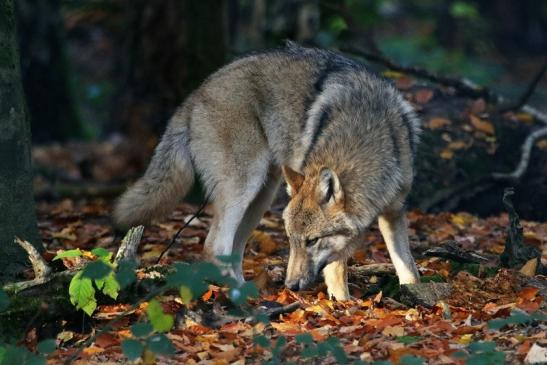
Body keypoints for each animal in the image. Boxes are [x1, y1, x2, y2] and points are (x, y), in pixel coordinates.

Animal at [114, 43, 420, 298]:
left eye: (311, 241)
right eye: (291, 240)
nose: (291, 286)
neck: (364, 133)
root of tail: (195, 95)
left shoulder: (394, 210)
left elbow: (407, 267)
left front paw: (417, 298)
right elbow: (337, 272)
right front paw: (343, 307)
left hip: (263, 195)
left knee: (233, 251)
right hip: (245, 186)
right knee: (214, 246)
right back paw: (243, 298)